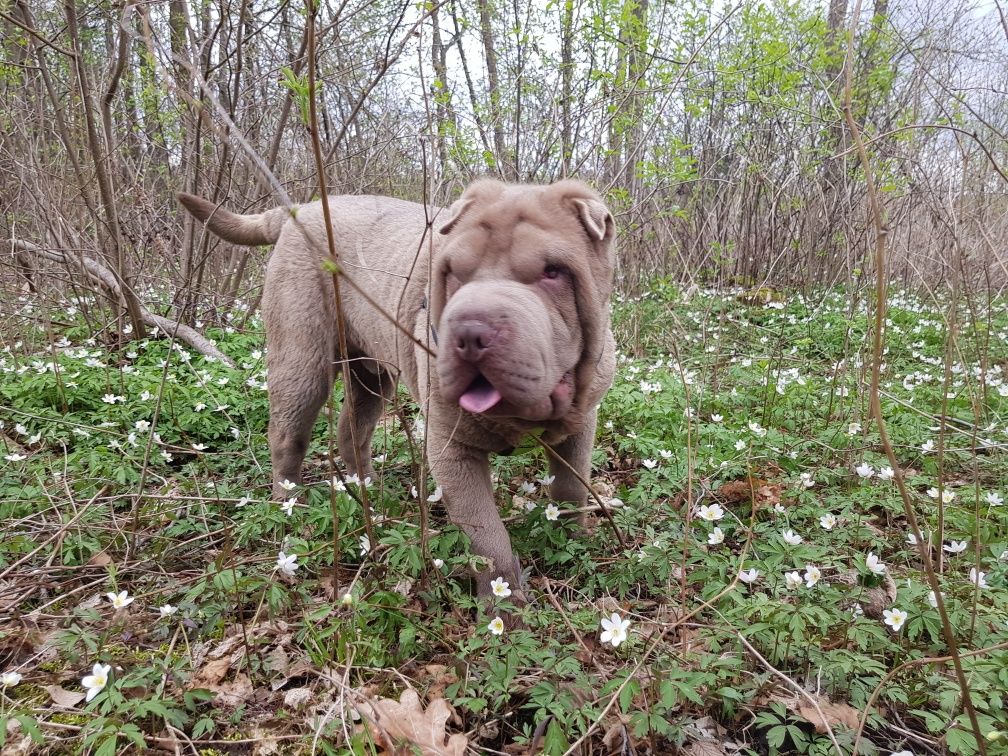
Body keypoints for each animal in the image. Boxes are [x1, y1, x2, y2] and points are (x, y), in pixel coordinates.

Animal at [178, 180, 616, 608]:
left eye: (553, 272)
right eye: (452, 273)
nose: (470, 331)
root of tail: (299, 209)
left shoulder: (582, 423)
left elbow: (571, 485)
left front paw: (574, 542)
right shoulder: (451, 447)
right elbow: (486, 532)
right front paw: (504, 608)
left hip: (370, 373)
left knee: (352, 429)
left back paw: (369, 491)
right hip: (302, 355)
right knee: (289, 434)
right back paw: (289, 508)